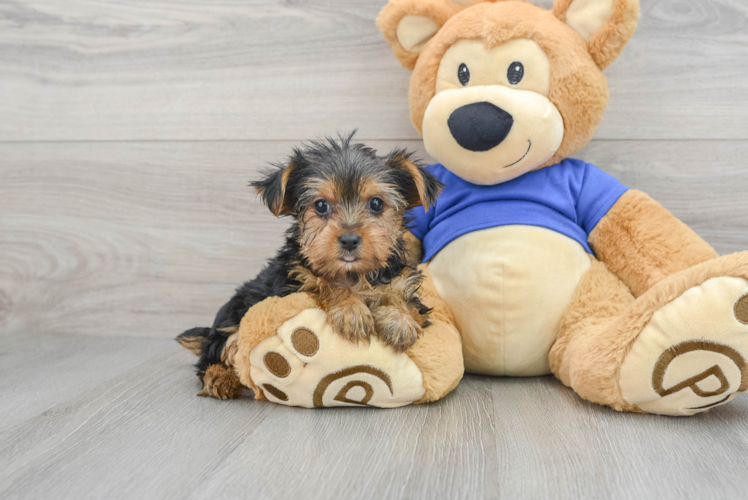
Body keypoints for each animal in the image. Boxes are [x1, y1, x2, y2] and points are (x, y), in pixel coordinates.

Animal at [178, 133, 442, 398]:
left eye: (376, 204)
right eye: (321, 206)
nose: (349, 239)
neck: (352, 275)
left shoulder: (403, 286)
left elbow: (405, 303)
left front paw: (399, 320)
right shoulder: (292, 285)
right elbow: (322, 285)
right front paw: (350, 310)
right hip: (235, 316)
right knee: (216, 353)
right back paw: (219, 378)